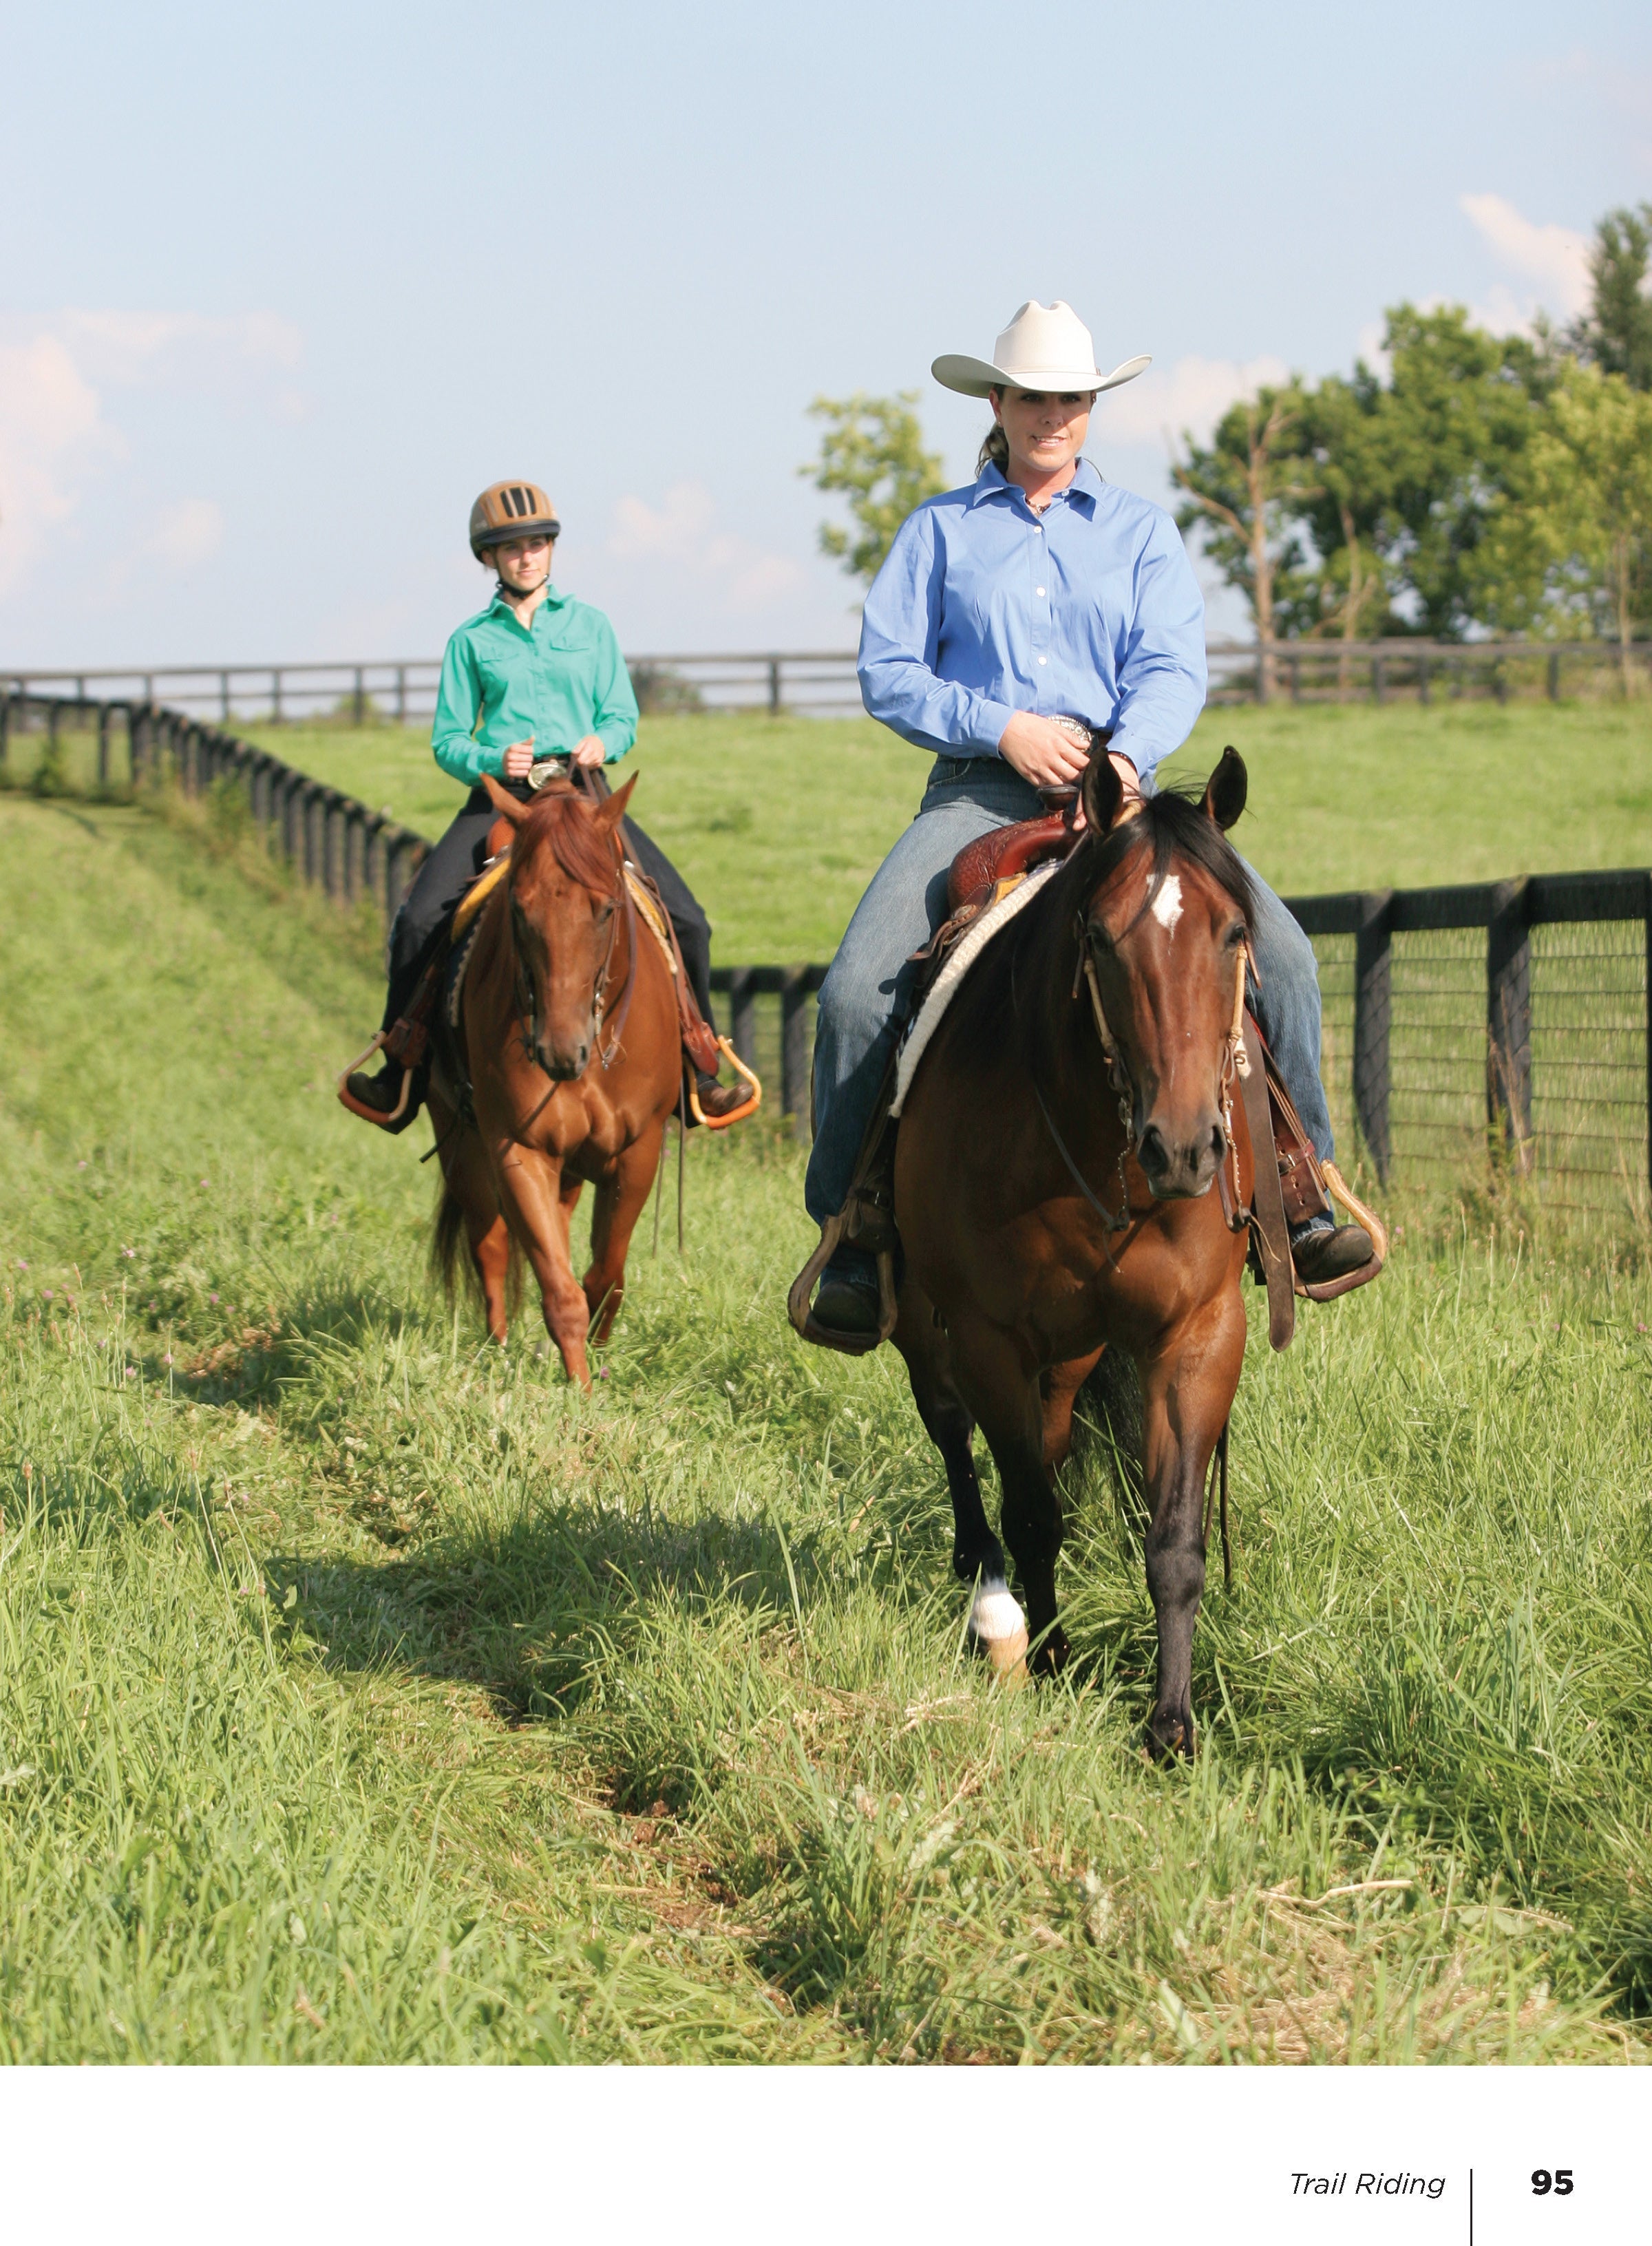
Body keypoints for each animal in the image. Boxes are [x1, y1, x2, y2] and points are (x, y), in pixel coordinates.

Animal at [433, 767, 682, 1384]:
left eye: (607, 909)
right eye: (519, 911)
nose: (559, 1052)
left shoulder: (638, 1150)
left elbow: (604, 1276)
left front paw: (597, 1357)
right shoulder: (518, 1150)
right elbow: (561, 1291)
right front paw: (581, 1391)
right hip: (460, 1145)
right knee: (491, 1246)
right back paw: (497, 1348)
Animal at [898, 745, 1257, 1743]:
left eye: (1234, 932)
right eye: (1098, 937)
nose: (1185, 1147)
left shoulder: (1198, 1331)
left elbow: (1173, 1540)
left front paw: (1171, 1725)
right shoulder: (986, 1335)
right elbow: (1030, 1514)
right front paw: (1046, 1655)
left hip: (1068, 1356)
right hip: (924, 1321)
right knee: (954, 1437)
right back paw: (991, 1607)